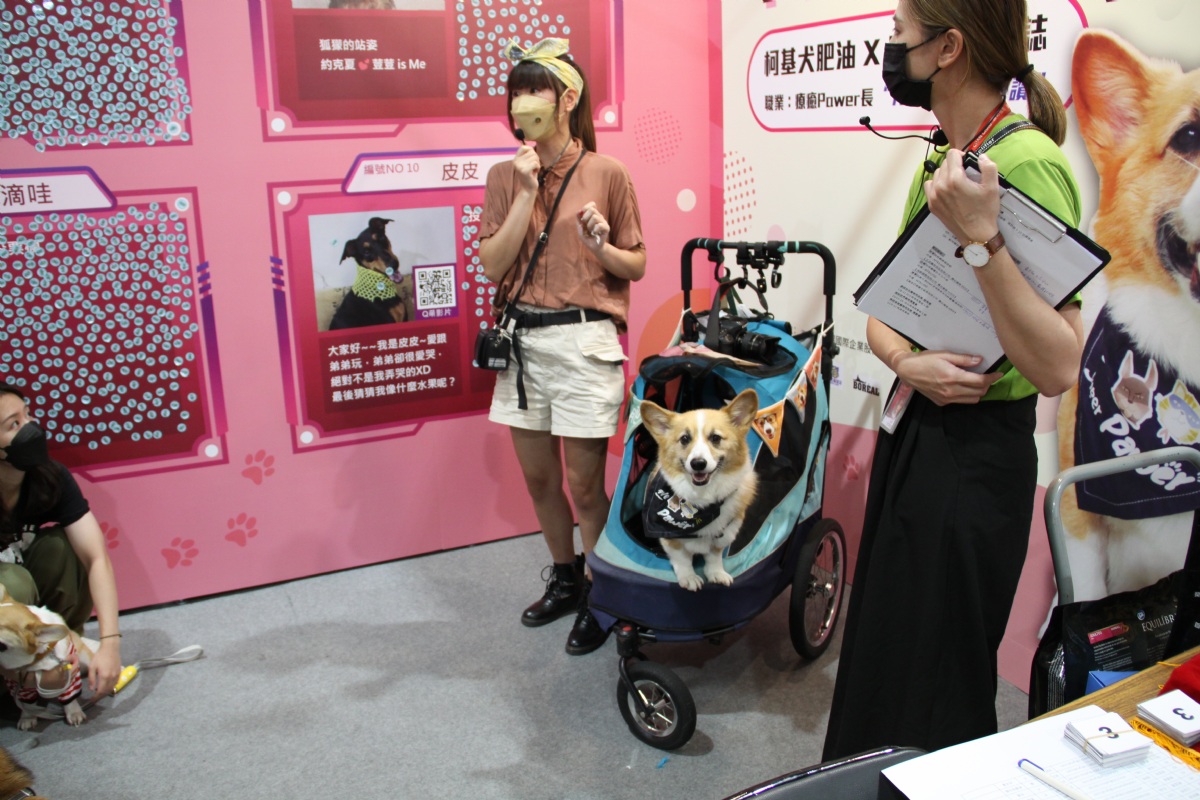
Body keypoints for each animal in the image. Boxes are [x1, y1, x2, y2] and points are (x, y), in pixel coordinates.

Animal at [0, 585, 97, 730]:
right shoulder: (20, 685)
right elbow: (27, 705)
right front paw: (27, 718)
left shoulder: (68, 675)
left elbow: (70, 698)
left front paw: (74, 713)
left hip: (83, 655)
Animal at [640, 389, 759, 591]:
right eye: (684, 439)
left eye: (715, 438)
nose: (698, 464)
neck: (703, 498)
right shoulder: (670, 539)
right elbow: (682, 559)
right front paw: (689, 578)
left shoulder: (723, 534)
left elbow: (714, 556)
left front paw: (716, 573)